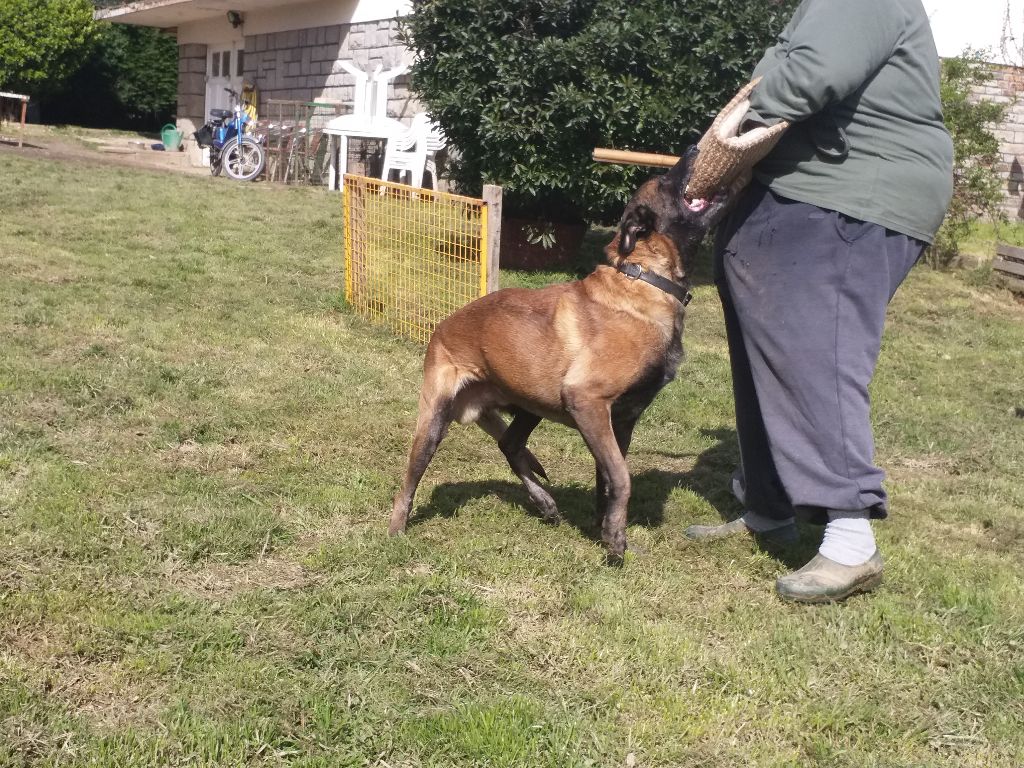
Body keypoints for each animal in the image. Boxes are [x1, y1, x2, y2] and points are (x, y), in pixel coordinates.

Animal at [389, 146, 729, 562]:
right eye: (665, 181)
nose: (695, 149)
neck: (646, 279)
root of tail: (441, 326)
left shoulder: (621, 420)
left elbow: (607, 479)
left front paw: (605, 528)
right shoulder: (587, 401)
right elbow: (622, 477)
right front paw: (616, 542)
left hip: (531, 403)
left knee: (510, 444)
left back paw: (545, 503)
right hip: (435, 420)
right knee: (412, 479)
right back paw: (396, 531)